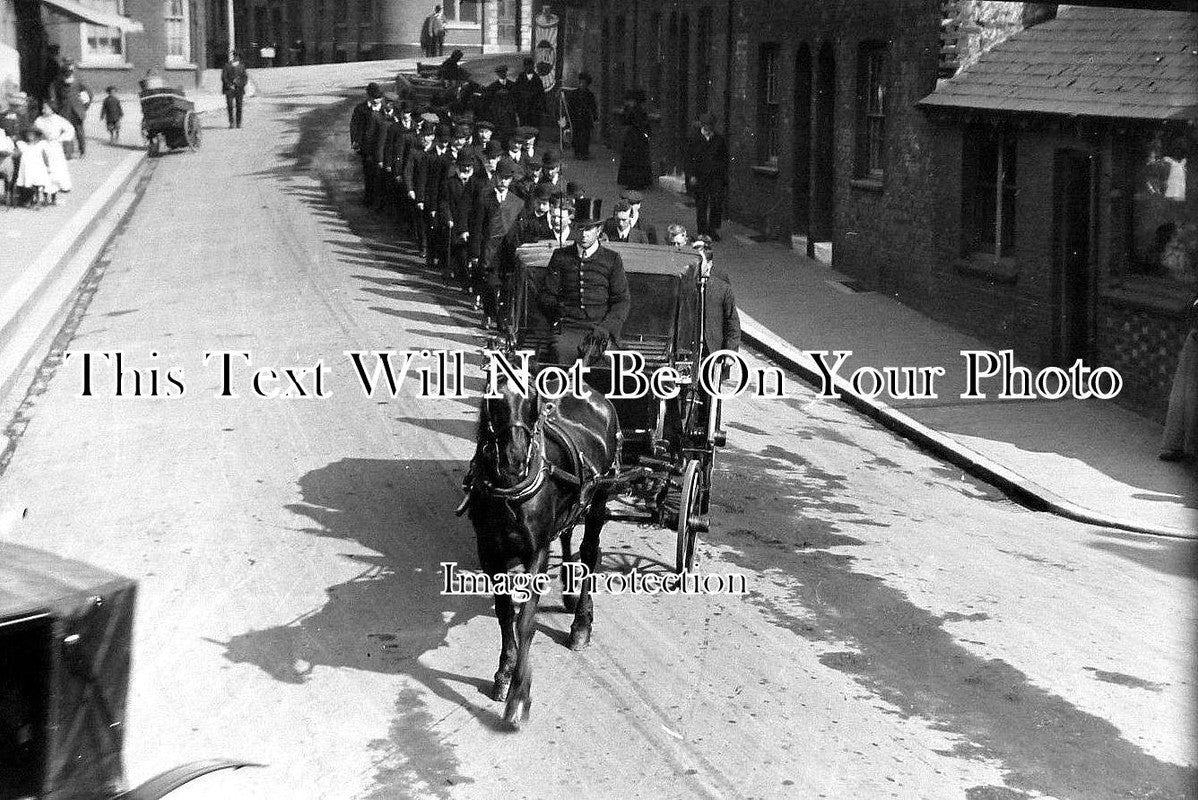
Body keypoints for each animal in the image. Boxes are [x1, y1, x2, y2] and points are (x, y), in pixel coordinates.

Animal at [464, 376, 622, 723]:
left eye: (532, 398)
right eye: (494, 398)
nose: (515, 457)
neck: (510, 491)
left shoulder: (536, 550)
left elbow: (525, 620)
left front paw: (518, 692)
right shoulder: (489, 550)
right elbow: (505, 612)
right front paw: (504, 672)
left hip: (600, 496)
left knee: (590, 552)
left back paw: (581, 623)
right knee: (568, 532)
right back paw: (570, 593)